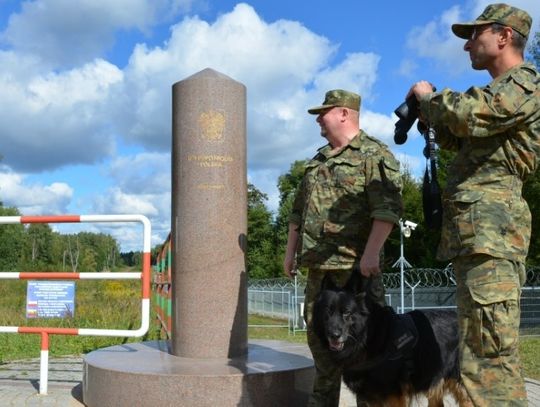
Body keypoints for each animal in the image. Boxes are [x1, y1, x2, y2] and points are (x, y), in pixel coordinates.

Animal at [314, 274, 470, 407]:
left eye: (346, 313)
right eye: (327, 312)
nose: (334, 335)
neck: (367, 335)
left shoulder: (395, 395)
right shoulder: (372, 396)